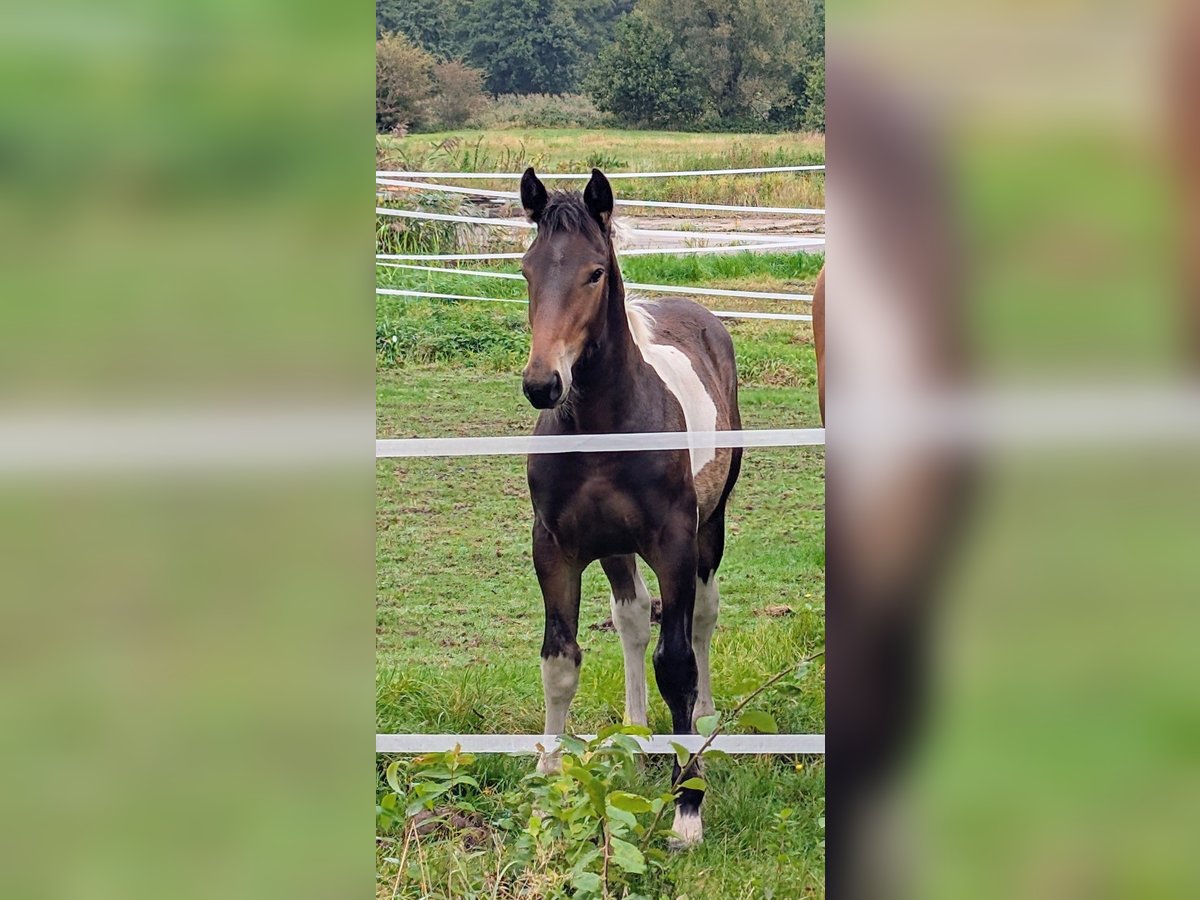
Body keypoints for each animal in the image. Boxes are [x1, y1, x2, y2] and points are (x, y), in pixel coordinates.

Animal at [518, 167, 742, 847]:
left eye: (594, 273)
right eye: (526, 270)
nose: (543, 384)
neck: (602, 428)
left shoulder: (672, 543)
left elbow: (678, 663)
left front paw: (688, 808)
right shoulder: (554, 549)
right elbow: (560, 662)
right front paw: (547, 791)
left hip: (709, 529)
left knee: (702, 621)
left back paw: (705, 720)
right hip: (615, 546)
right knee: (635, 617)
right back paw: (637, 734)